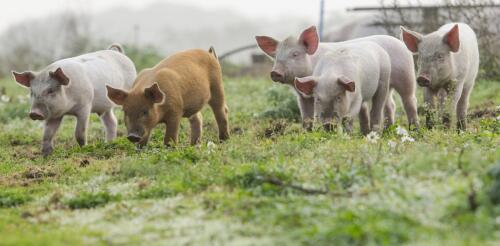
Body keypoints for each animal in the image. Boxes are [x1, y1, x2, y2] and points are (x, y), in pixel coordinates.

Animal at [258, 25, 418, 131]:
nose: (275, 72)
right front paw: (307, 134)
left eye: (295, 54)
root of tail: (399, 41)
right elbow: (306, 118)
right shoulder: (303, 96)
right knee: (390, 104)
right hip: (387, 86)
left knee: (409, 100)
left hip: (406, 75)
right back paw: (387, 129)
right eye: (276, 56)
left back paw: (414, 129)